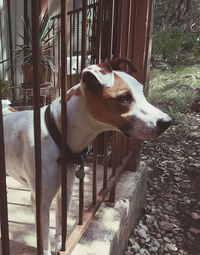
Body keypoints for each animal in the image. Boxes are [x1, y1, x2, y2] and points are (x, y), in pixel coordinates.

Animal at [2, 58, 172, 254]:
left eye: (142, 92)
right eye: (125, 98)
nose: (167, 122)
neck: (57, 132)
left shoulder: (66, 190)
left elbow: (61, 225)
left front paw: (60, 244)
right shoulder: (41, 202)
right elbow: (43, 241)